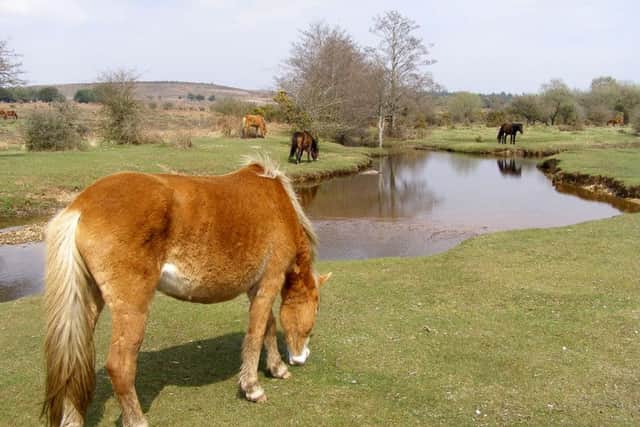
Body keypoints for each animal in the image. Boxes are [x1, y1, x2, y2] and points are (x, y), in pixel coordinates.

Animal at [42, 155, 331, 427]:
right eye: (316, 308)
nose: (301, 357)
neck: (278, 205)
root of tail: (80, 206)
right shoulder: (270, 282)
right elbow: (257, 333)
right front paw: (252, 388)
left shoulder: (256, 288)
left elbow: (268, 326)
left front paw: (276, 368)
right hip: (132, 308)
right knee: (120, 366)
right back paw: (137, 420)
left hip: (88, 301)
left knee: (73, 364)